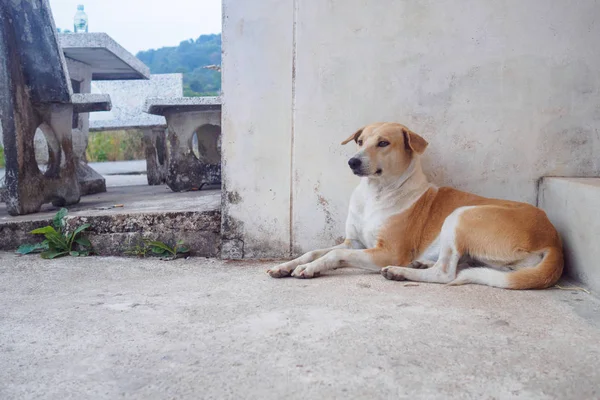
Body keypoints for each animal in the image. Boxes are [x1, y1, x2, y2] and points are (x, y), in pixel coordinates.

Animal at [268, 120, 564, 290]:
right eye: (360, 141)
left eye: (383, 143)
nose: (352, 161)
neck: (375, 193)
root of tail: (553, 239)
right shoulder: (354, 242)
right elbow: (315, 251)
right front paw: (287, 265)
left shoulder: (386, 251)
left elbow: (333, 255)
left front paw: (309, 269)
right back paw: (419, 266)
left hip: (461, 215)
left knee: (446, 274)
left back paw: (400, 272)